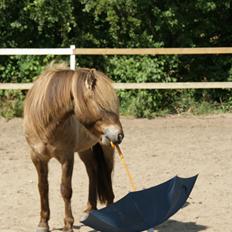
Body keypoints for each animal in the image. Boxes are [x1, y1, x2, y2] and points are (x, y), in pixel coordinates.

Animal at [23, 63, 124, 232]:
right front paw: (43, 223)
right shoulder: (37, 157)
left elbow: (66, 190)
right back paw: (90, 208)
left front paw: (68, 224)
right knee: (92, 171)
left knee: (108, 173)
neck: (47, 124)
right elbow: (42, 187)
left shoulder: (67, 157)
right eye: (100, 105)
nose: (120, 134)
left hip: (107, 148)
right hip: (85, 150)